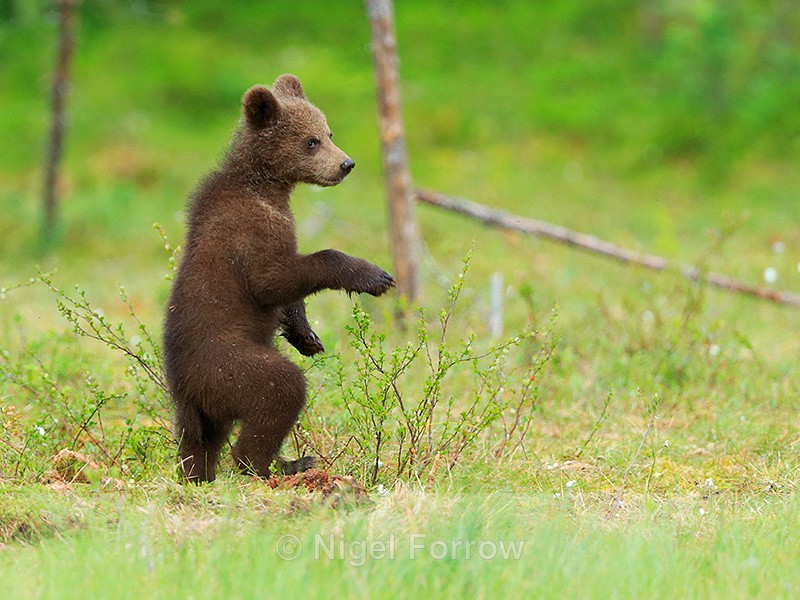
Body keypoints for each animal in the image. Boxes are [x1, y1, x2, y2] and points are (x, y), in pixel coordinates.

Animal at [163, 73, 395, 483]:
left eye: (328, 131)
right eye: (310, 140)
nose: (346, 163)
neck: (266, 186)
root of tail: (185, 391)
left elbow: (286, 293)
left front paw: (307, 336)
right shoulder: (250, 231)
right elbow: (274, 279)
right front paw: (372, 276)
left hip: (204, 409)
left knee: (198, 443)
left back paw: (199, 475)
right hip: (228, 365)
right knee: (279, 391)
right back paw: (280, 464)